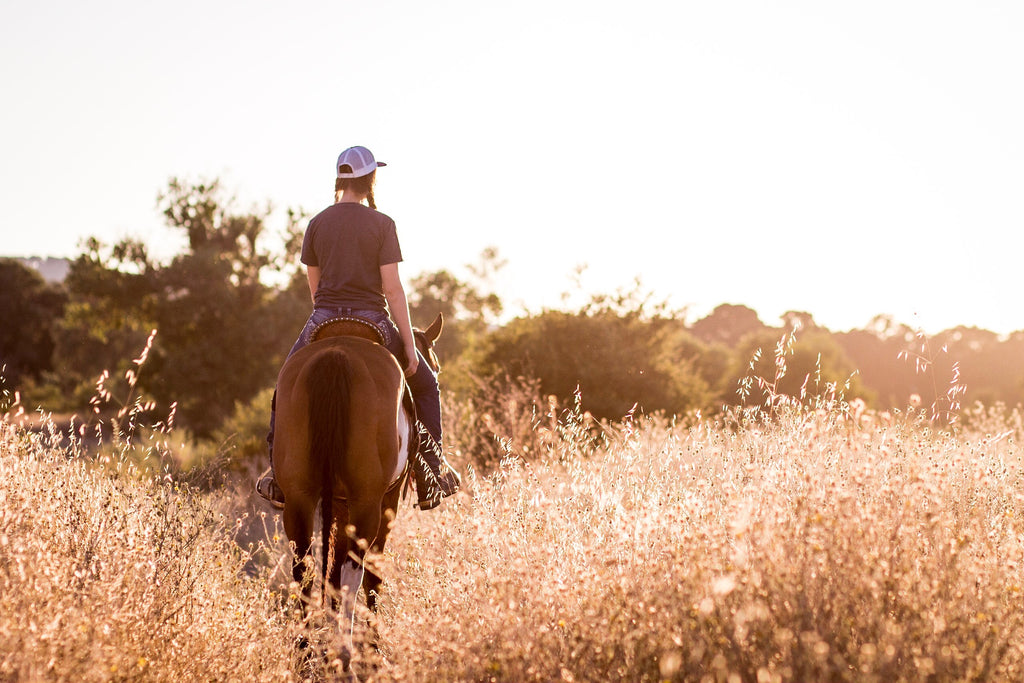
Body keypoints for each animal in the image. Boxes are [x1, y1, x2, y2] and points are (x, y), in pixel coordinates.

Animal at [272, 315, 444, 634]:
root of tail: (337, 356)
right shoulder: (387, 500)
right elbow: (372, 574)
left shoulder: (340, 503)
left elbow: (331, 569)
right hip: (367, 501)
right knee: (355, 570)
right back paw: (347, 643)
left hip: (299, 498)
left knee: (305, 570)